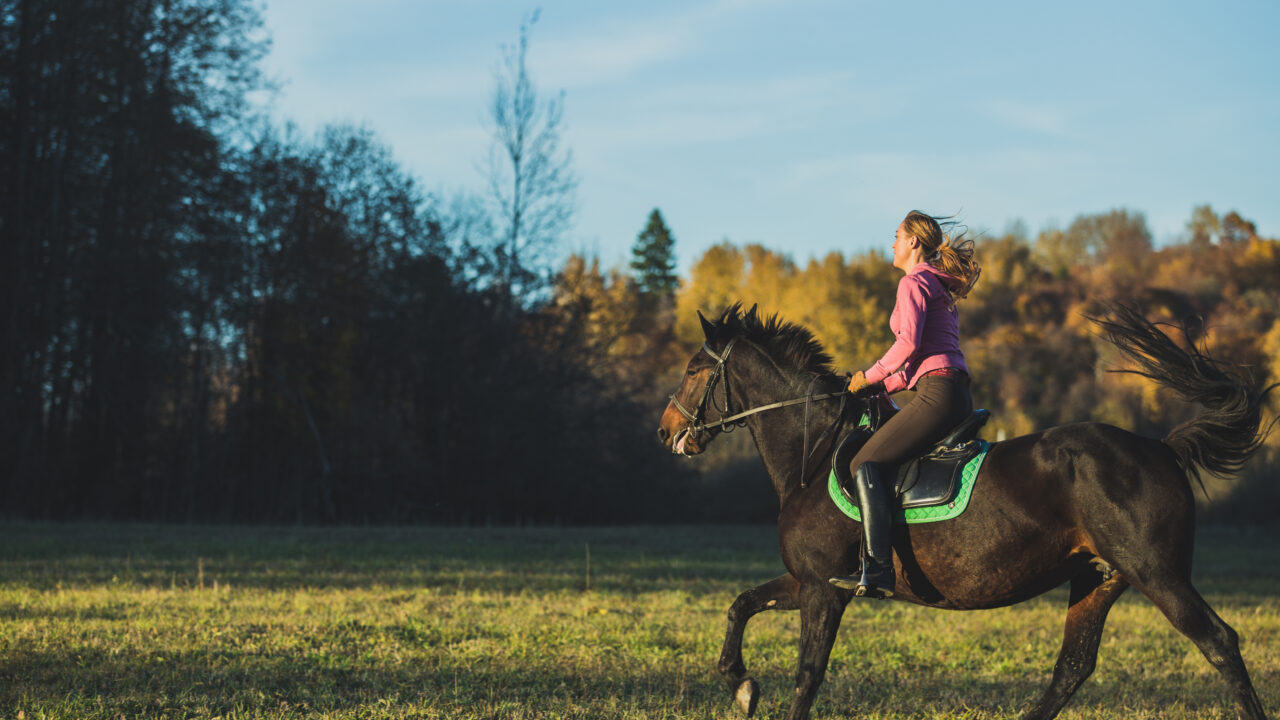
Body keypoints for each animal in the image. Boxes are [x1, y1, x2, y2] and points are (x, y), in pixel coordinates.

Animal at [655, 301, 1274, 717]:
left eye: (693, 369)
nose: (665, 433)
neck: (816, 450)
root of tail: (1162, 448)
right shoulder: (807, 579)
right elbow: (740, 605)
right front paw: (742, 687)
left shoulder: (824, 590)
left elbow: (808, 674)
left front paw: (751, 688)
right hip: (1100, 577)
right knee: (1072, 668)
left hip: (1157, 575)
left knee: (1220, 643)